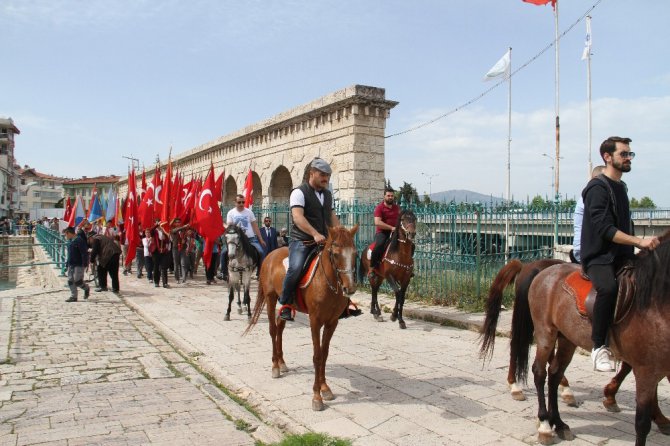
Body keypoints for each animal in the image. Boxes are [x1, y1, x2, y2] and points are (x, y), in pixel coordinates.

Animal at [245, 226, 360, 412]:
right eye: (335, 254)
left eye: (355, 254)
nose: (349, 288)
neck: (326, 281)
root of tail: (271, 254)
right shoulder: (315, 321)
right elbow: (317, 356)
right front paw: (317, 397)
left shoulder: (332, 323)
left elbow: (325, 354)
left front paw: (325, 388)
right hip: (270, 298)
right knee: (272, 329)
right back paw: (275, 366)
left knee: (280, 326)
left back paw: (282, 362)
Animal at [480, 232, 670, 444]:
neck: (655, 302)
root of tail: (537, 270)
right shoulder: (646, 368)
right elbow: (642, 422)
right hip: (544, 331)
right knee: (538, 369)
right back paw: (543, 422)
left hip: (566, 338)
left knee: (554, 372)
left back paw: (559, 421)